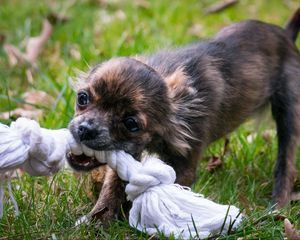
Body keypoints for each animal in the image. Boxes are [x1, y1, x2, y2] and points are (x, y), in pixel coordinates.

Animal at [67, 7, 300, 225]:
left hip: (289, 115)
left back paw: (277, 208)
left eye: (131, 123)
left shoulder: (185, 164)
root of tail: (286, 35)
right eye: (82, 98)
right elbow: (112, 186)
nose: (85, 129)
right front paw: (97, 220)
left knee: (286, 164)